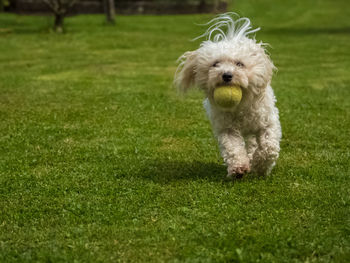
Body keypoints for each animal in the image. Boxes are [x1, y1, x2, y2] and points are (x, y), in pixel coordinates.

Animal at [175, 13, 282, 180]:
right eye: (215, 64)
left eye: (239, 64)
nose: (226, 75)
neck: (240, 105)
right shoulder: (227, 128)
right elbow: (233, 148)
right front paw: (239, 168)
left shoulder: (268, 123)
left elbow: (269, 147)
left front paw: (260, 166)